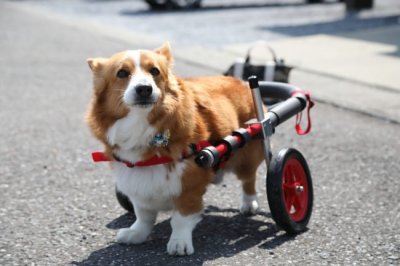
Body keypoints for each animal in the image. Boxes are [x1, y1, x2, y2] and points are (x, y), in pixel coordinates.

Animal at [86, 42, 264, 256]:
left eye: (154, 71)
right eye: (122, 73)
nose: (144, 89)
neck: (140, 126)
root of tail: (241, 81)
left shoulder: (188, 184)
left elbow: (181, 218)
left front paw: (179, 243)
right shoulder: (135, 183)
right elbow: (143, 215)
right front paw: (136, 234)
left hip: (247, 154)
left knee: (249, 180)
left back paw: (249, 204)